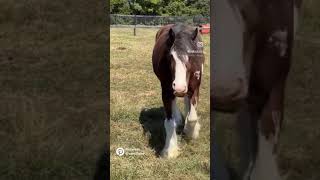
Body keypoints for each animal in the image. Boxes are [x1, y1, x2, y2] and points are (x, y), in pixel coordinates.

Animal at [152, 23, 205, 158]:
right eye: (171, 56)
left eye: (192, 55)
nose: (180, 88)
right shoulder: (166, 91)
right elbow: (169, 122)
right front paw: (170, 150)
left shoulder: (195, 88)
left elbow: (192, 118)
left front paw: (191, 132)